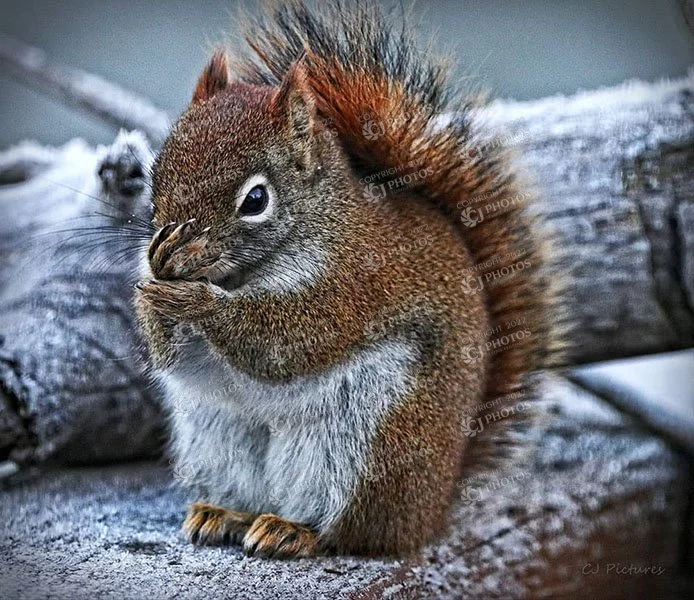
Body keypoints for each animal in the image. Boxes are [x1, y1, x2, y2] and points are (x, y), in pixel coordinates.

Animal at [134, 0, 560, 558]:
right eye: (156, 172)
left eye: (255, 200)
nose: (170, 252)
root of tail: (432, 509)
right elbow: (173, 358)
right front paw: (153, 292)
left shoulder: (354, 283)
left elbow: (287, 342)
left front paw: (195, 300)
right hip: (217, 437)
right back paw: (224, 513)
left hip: (369, 440)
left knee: (356, 531)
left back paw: (295, 530)